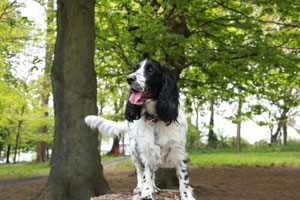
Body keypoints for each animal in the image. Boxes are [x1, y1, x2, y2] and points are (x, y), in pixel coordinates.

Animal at [85, 59, 196, 200]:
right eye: (135, 69)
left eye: (151, 70)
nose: (129, 79)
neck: (155, 118)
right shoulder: (145, 152)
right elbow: (146, 175)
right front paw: (146, 193)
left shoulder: (180, 152)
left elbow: (183, 177)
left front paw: (187, 195)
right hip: (134, 150)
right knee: (139, 171)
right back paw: (140, 188)